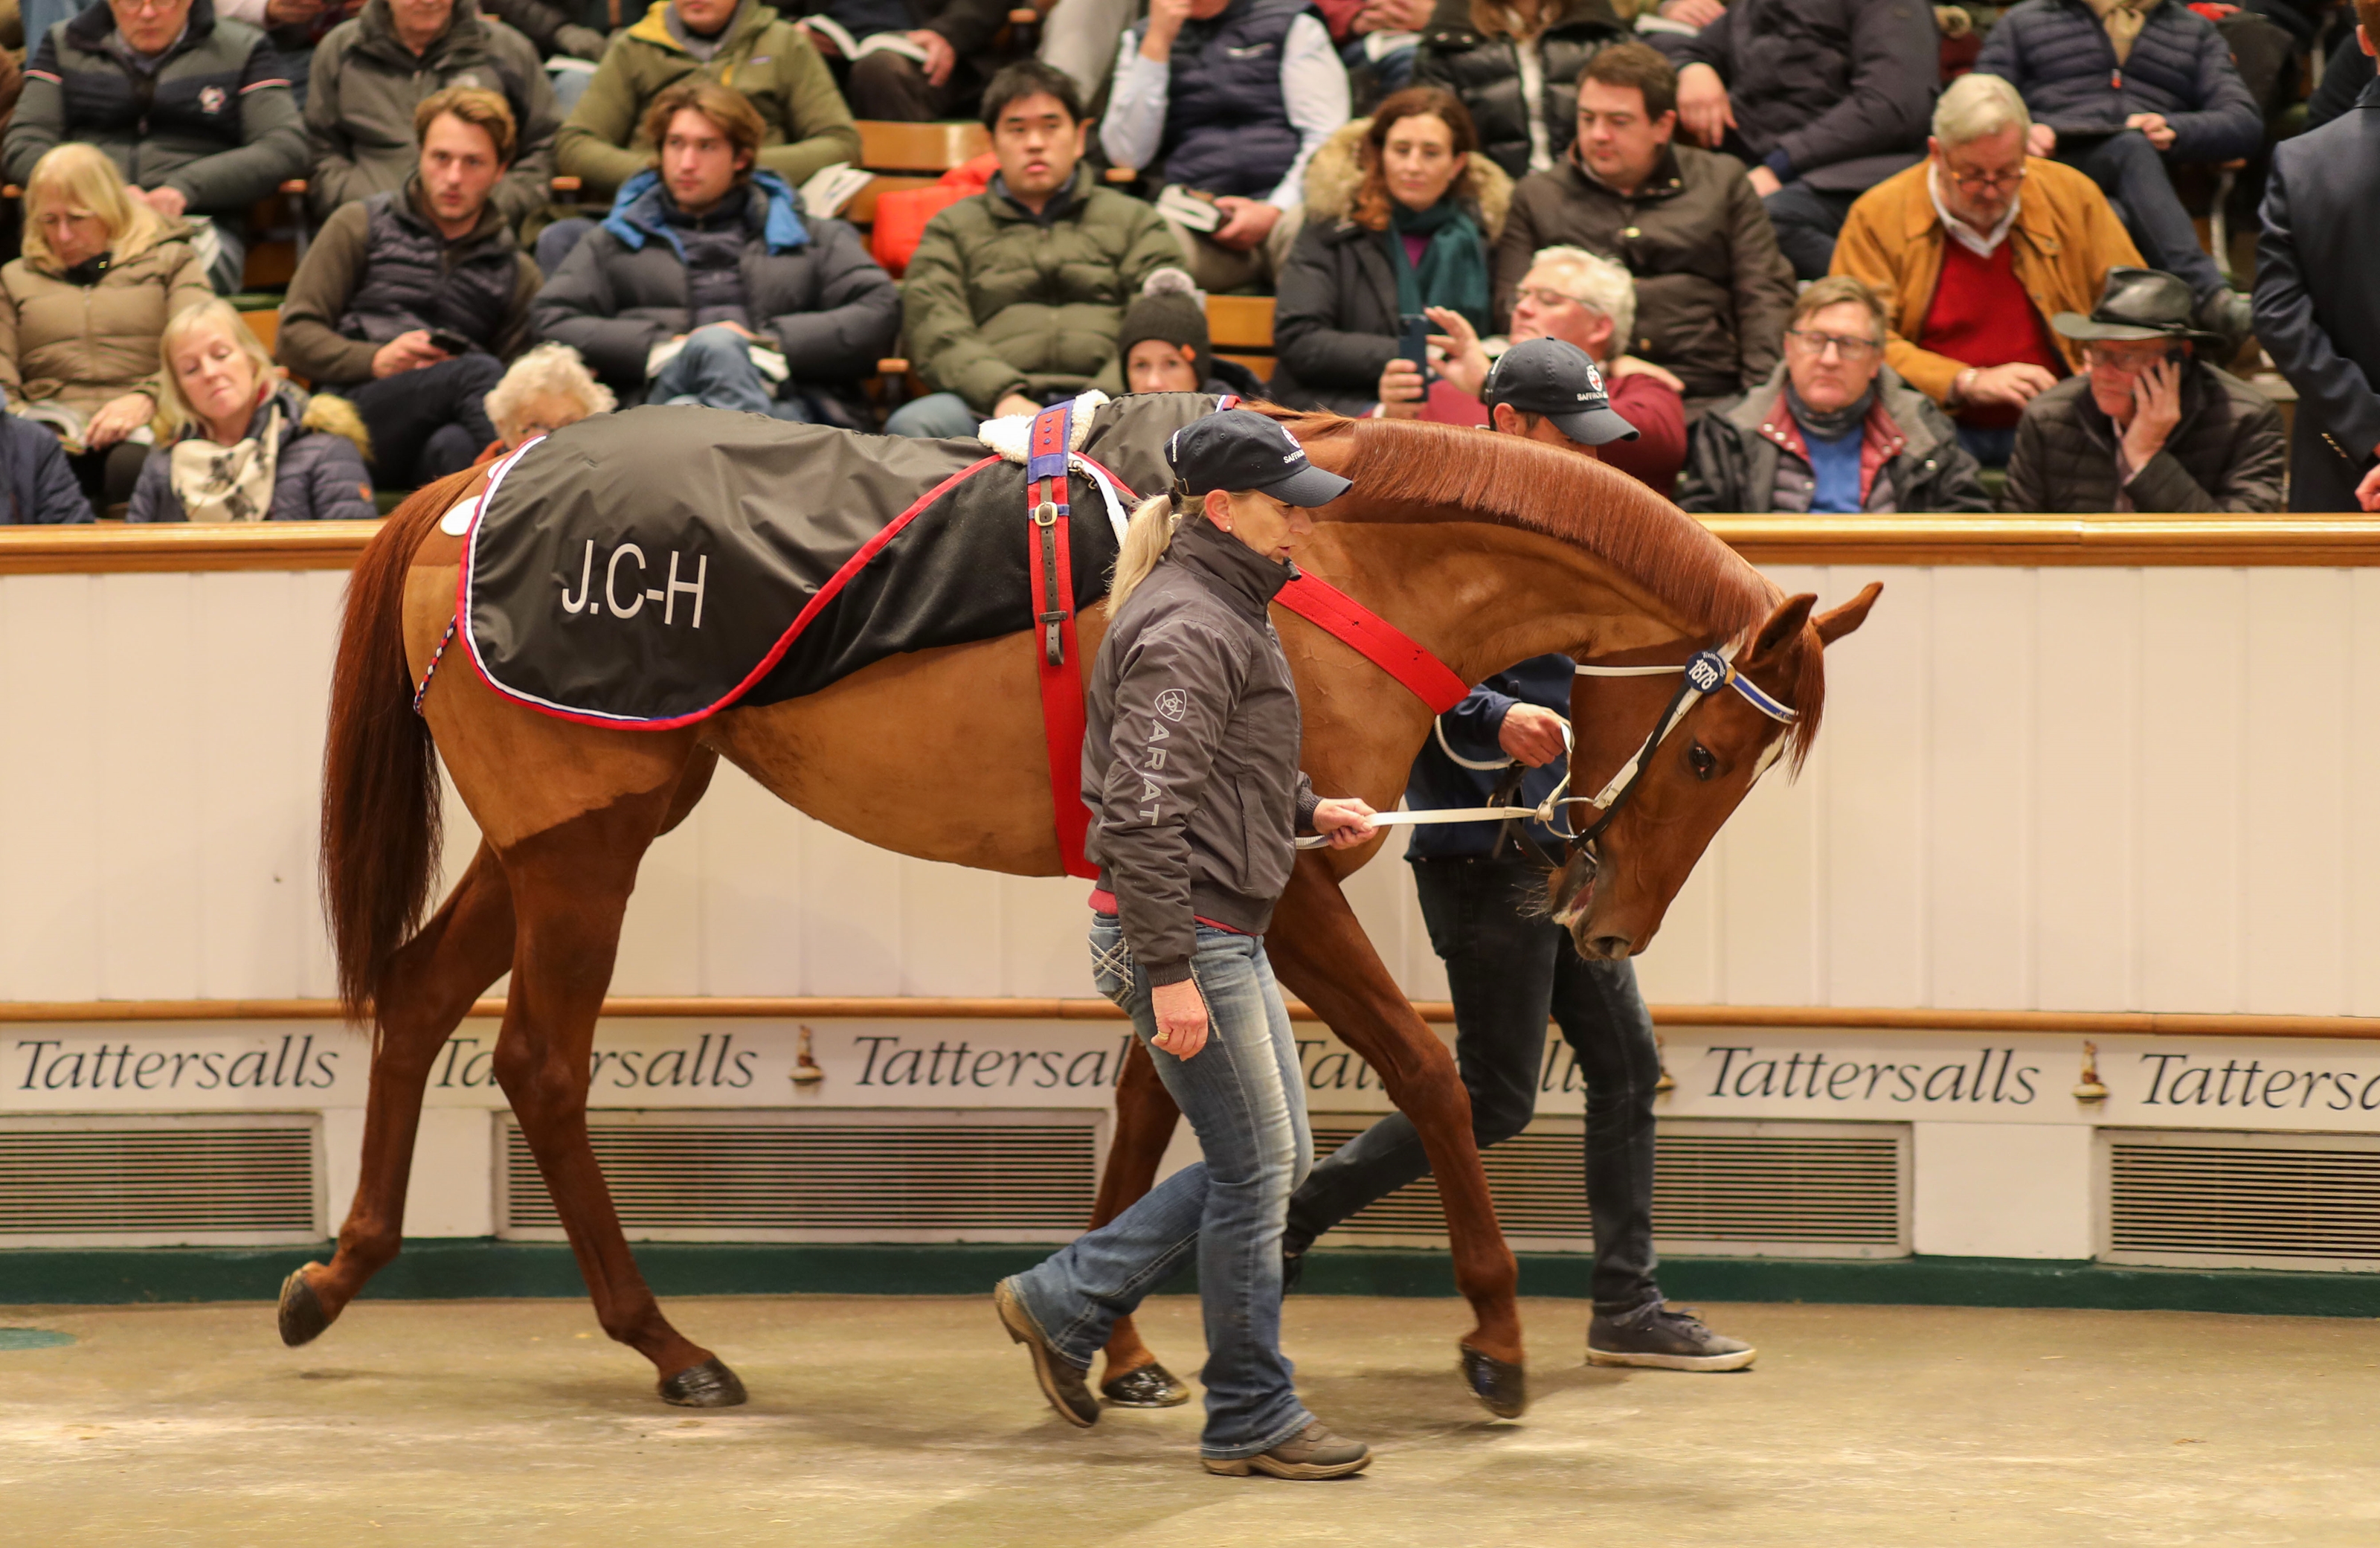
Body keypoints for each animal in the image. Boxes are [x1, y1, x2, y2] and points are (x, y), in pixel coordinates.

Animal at [283, 405, 1875, 1419]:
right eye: (1713, 755)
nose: (1605, 925)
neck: (1341, 569)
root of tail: (478, 481)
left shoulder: (1196, 895)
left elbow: (1153, 1103)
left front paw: (1108, 1342)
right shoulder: (1285, 875)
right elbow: (1422, 1076)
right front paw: (1492, 1333)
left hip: (564, 833)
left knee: (420, 996)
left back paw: (336, 1272)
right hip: (586, 845)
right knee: (541, 1064)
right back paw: (667, 1344)